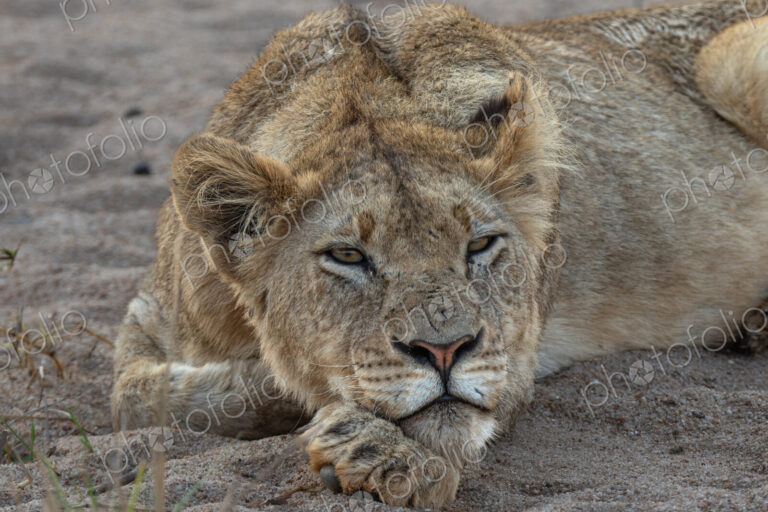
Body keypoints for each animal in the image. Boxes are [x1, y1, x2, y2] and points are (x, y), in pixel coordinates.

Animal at [111, 1, 768, 507]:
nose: (445, 351)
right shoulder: (149, 318)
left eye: (479, 244)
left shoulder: (517, 350)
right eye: (347, 255)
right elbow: (150, 401)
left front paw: (381, 454)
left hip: (732, 55)